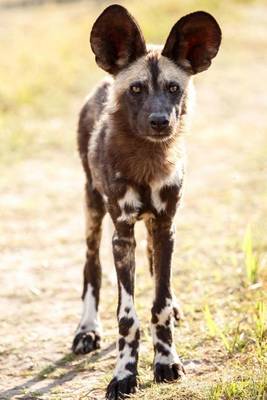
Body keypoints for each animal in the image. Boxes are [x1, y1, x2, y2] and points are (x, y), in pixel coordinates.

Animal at [71, 3, 222, 400]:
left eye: (173, 88)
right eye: (137, 89)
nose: (159, 121)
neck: (146, 162)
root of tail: (103, 81)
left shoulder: (166, 225)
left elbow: (160, 304)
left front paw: (166, 362)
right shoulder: (122, 235)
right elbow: (127, 317)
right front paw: (124, 374)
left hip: (156, 227)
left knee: (155, 268)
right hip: (93, 210)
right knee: (91, 268)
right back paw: (86, 330)